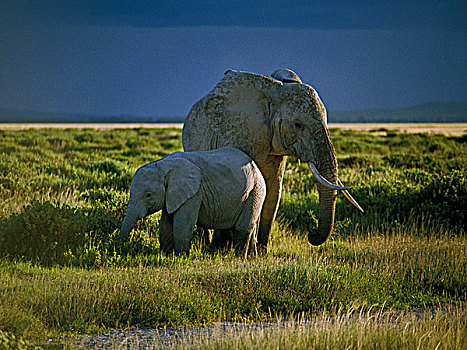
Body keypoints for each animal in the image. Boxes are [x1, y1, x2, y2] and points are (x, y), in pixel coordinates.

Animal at [117, 146, 266, 258]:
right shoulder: (172, 195)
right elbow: (165, 226)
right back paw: (251, 258)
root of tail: (255, 166)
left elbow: (181, 227)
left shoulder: (194, 194)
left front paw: (180, 258)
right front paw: (166, 256)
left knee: (242, 227)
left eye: (148, 195)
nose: (117, 250)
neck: (163, 166)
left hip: (255, 191)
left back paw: (239, 259)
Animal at [183, 68, 362, 253]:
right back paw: (210, 246)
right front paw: (248, 251)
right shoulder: (241, 135)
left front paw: (261, 253)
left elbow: (273, 192)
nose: (311, 233)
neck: (275, 92)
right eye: (297, 125)